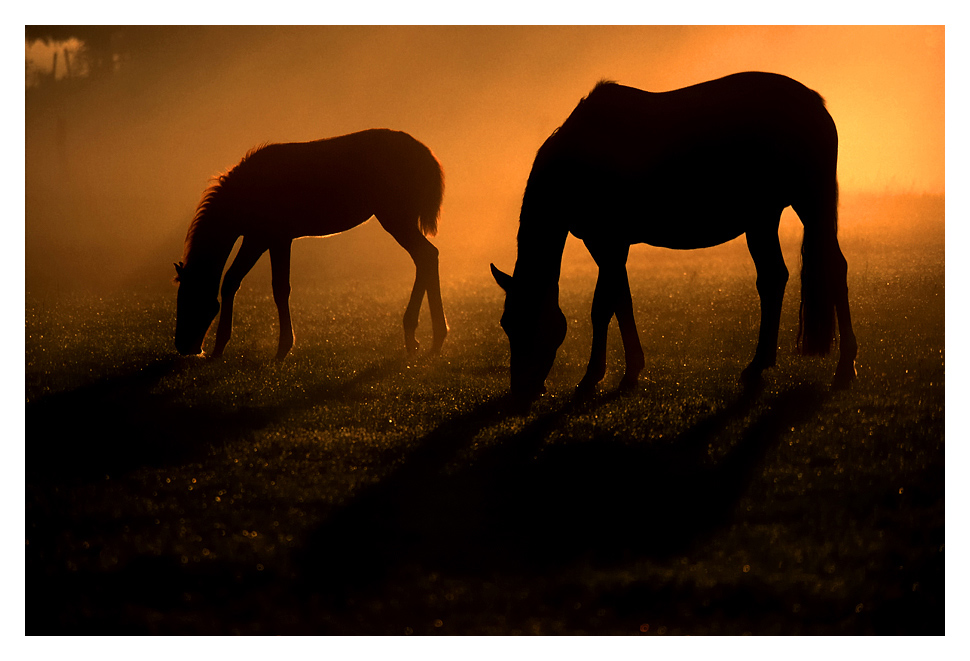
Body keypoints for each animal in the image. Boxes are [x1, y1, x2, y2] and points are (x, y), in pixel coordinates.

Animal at [174, 129, 448, 361]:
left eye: (187, 299)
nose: (183, 346)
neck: (248, 190)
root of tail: (426, 154)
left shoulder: (274, 238)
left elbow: (279, 288)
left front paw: (282, 349)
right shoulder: (258, 238)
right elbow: (232, 280)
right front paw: (219, 348)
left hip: (396, 219)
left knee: (426, 256)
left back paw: (419, 335)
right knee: (427, 257)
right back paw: (432, 338)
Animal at [491, 72, 858, 401]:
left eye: (531, 323)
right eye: (506, 323)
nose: (521, 390)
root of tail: (816, 103)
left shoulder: (609, 242)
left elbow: (602, 307)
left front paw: (592, 378)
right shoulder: (607, 246)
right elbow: (621, 301)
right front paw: (630, 372)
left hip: (808, 203)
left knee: (829, 270)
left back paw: (843, 369)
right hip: (764, 218)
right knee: (776, 278)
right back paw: (759, 368)